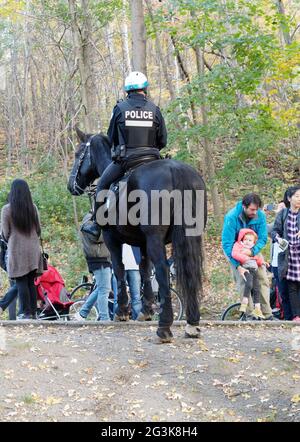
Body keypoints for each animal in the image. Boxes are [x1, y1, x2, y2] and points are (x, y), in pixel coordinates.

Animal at [69, 128, 207, 342]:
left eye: (78, 154)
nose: (71, 185)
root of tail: (175, 170)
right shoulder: (142, 243)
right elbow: (144, 270)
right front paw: (146, 309)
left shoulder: (112, 240)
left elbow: (119, 269)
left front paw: (122, 311)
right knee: (190, 270)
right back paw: (192, 324)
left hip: (155, 239)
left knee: (162, 270)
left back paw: (164, 327)